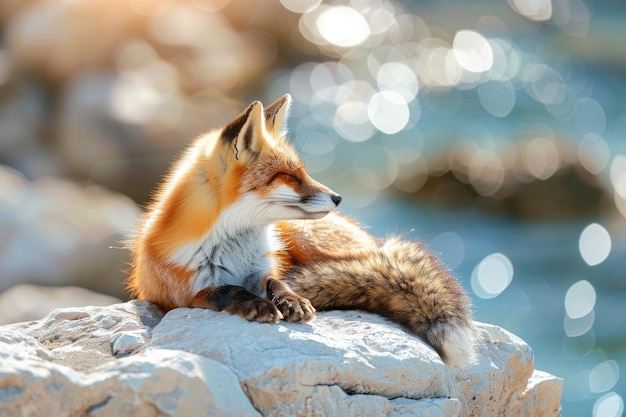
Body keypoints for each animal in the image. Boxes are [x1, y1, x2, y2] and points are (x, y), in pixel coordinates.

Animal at [127, 93, 478, 368]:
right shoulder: (180, 296)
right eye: (288, 176)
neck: (235, 251)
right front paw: (255, 304)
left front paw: (291, 300)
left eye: (303, 172)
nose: (338, 197)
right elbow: (226, 290)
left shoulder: (265, 267)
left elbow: (276, 282)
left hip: (308, 241)